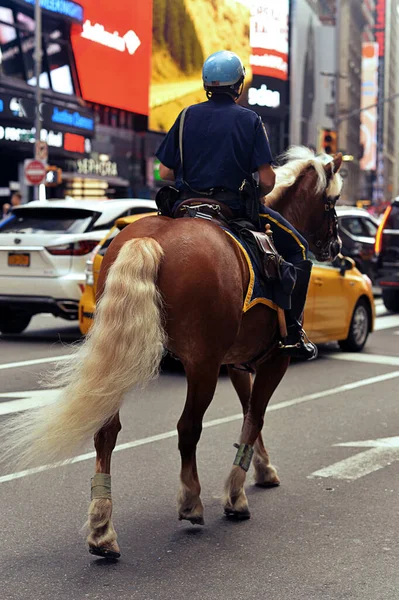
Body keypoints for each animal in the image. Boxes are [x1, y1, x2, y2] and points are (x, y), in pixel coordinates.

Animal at [4, 145, 344, 556]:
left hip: (122, 354)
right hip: (201, 364)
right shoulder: (274, 358)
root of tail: (152, 240)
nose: (337, 247)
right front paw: (236, 495)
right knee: (187, 427)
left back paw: (102, 529)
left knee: (107, 431)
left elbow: (249, 412)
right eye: (332, 201)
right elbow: (255, 417)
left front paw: (261, 469)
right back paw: (190, 501)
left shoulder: (237, 362)